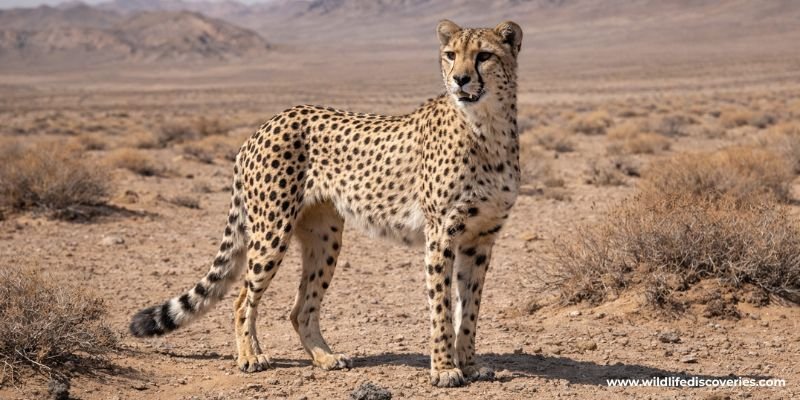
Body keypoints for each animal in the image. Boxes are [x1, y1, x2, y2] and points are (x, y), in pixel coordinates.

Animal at [130, 19, 523, 388]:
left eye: (483, 56)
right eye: (451, 55)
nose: (460, 80)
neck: (488, 127)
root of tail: (264, 125)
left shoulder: (480, 239)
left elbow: (469, 309)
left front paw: (469, 365)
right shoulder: (441, 234)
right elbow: (441, 308)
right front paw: (444, 369)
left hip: (325, 236)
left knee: (300, 307)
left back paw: (324, 357)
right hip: (272, 231)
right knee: (243, 299)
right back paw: (251, 356)